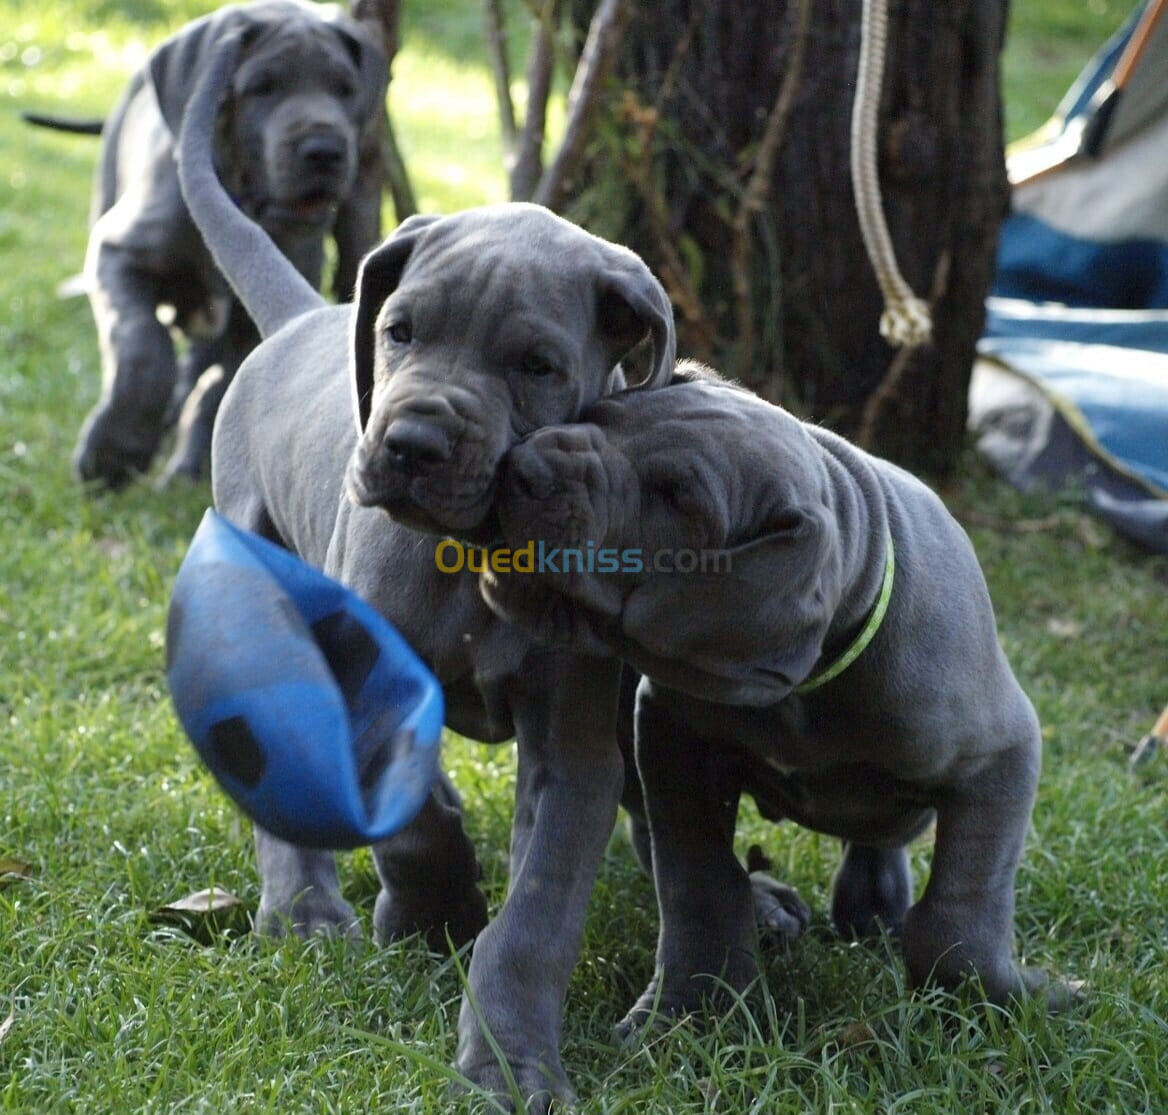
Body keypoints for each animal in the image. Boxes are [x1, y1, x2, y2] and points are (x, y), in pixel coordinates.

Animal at [69, 1, 387, 488]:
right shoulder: (118, 254)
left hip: (360, 216)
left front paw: (186, 460)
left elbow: (220, 385)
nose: (324, 151)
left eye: (345, 89)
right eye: (262, 87)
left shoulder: (264, 309)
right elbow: (144, 347)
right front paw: (113, 453)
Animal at [177, 30, 682, 1111]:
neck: (477, 549)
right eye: (401, 330)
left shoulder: (571, 738)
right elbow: (415, 818)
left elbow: (535, 918)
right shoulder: (373, 674)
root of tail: (301, 317)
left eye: (536, 365)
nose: (409, 444)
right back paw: (305, 909)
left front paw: (511, 1059)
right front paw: (432, 909)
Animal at [485, 361, 1074, 1032]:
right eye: (601, 415)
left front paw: (1020, 995)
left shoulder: (1001, 756)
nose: (524, 466)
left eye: (678, 498)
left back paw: (874, 907)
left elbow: (963, 907)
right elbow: (699, 878)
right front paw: (686, 1008)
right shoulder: (669, 735)